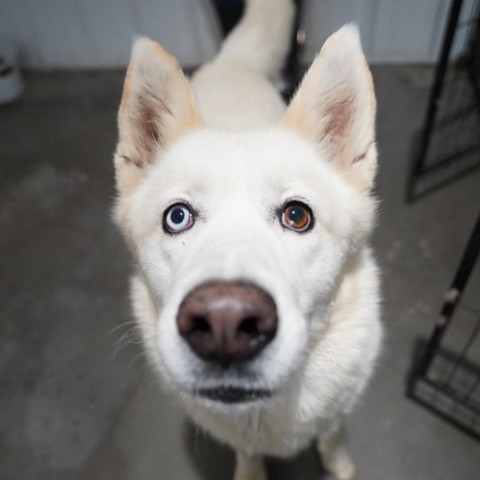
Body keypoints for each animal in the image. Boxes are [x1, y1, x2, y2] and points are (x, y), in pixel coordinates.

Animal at [112, 1, 382, 478]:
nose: (225, 324)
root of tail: (232, 61)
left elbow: (332, 439)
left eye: (297, 216)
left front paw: (339, 465)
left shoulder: (335, 413)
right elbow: (248, 453)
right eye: (177, 217)